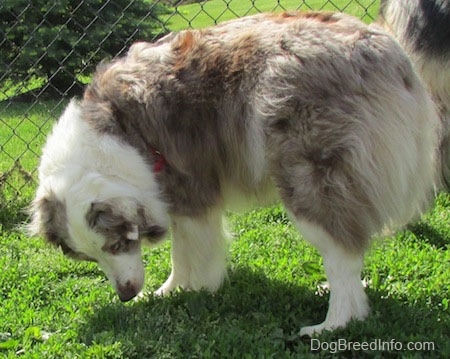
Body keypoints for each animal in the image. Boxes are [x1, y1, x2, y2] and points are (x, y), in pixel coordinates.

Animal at [29, 11, 440, 338]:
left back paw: (333, 324)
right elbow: (182, 250)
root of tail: (386, 50)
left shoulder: (189, 189)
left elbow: (189, 252)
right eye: (91, 258)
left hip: (310, 180)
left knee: (343, 251)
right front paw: (169, 292)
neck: (118, 138)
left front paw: (188, 290)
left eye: (117, 245)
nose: (126, 295)